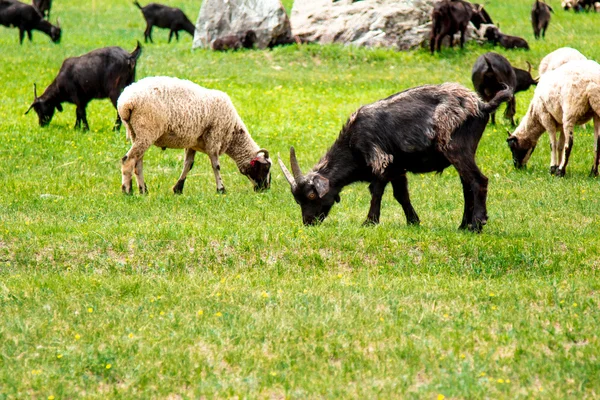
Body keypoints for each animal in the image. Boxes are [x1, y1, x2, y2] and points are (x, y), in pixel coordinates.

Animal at [117, 77, 272, 195]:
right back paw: (127, 191)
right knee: (128, 160)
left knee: (138, 163)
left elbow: (188, 165)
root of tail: (126, 102)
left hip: (136, 133)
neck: (233, 133)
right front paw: (221, 189)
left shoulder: (192, 144)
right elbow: (216, 165)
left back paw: (143, 190)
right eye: (265, 168)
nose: (265, 189)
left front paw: (178, 189)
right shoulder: (214, 138)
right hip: (147, 130)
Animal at [278, 83, 512, 233]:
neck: (352, 143)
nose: (308, 222)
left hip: (456, 148)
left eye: (311, 195)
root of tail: (481, 105)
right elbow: (401, 195)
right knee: (467, 185)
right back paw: (463, 225)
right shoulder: (398, 168)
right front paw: (413, 221)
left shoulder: (380, 159)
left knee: (479, 180)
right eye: (297, 199)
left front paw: (369, 222)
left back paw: (477, 224)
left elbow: (376, 190)